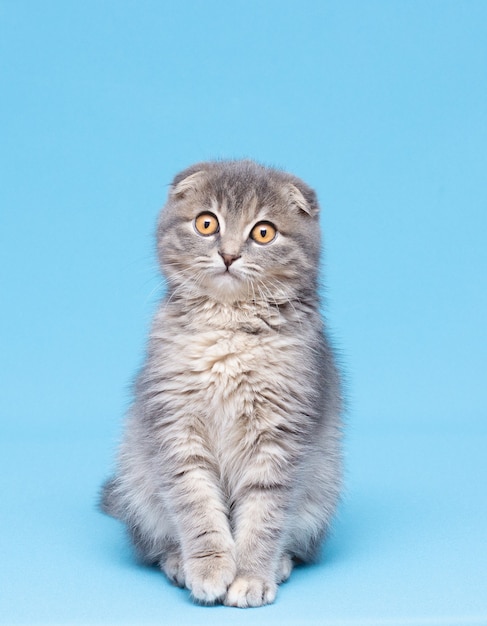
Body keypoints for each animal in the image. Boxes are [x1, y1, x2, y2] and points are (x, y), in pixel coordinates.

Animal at [101, 160, 344, 604]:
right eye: (206, 223)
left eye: (263, 232)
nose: (228, 254)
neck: (228, 330)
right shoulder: (176, 426)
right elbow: (196, 506)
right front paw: (210, 568)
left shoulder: (280, 435)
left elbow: (264, 515)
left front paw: (249, 576)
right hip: (136, 479)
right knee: (154, 543)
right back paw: (177, 562)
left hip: (323, 488)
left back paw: (279, 564)